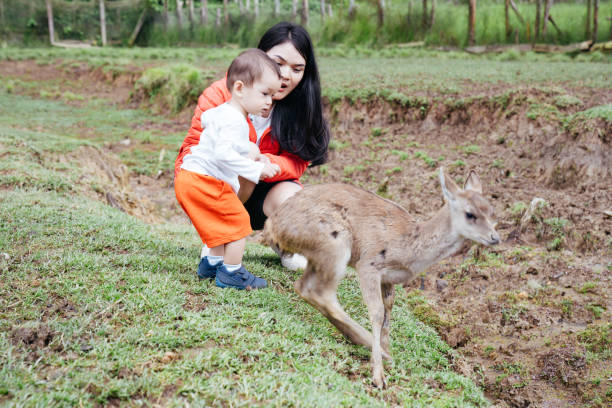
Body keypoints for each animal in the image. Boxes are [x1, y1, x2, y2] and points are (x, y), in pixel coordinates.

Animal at [262, 167, 498, 388]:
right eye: (470, 214)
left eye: (491, 210)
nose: (495, 237)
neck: (410, 250)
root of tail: (271, 227)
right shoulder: (369, 264)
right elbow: (376, 312)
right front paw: (378, 374)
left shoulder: (389, 278)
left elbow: (388, 310)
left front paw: (388, 352)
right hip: (334, 243)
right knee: (320, 291)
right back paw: (366, 343)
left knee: (303, 286)